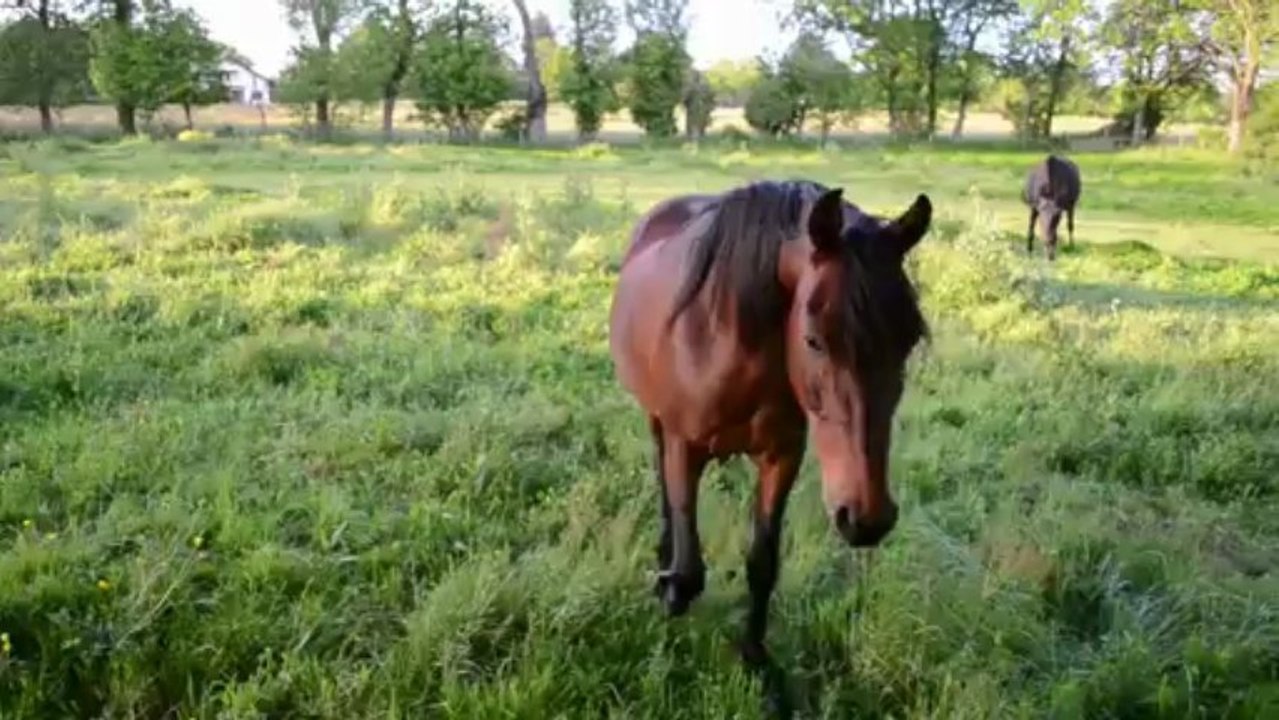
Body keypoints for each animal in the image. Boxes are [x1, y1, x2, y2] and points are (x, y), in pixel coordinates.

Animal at [607, 179, 933, 665]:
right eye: (814, 340)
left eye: (909, 339)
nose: (867, 518)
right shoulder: (686, 446)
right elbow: (689, 565)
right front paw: (671, 593)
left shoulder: (781, 457)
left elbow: (763, 563)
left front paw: (755, 654)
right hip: (656, 419)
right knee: (662, 478)